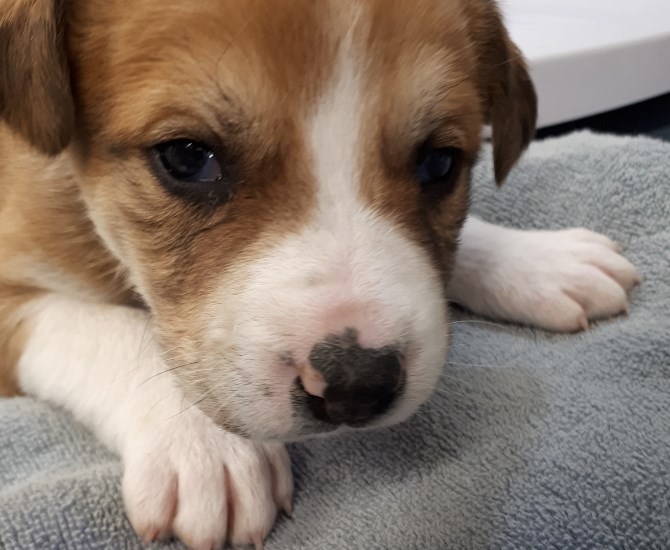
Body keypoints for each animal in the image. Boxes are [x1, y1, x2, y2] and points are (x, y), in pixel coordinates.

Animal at [0, 0, 640, 548]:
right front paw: (208, 444)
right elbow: (107, 329)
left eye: (440, 163)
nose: (358, 387)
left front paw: (535, 259)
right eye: (185, 157)